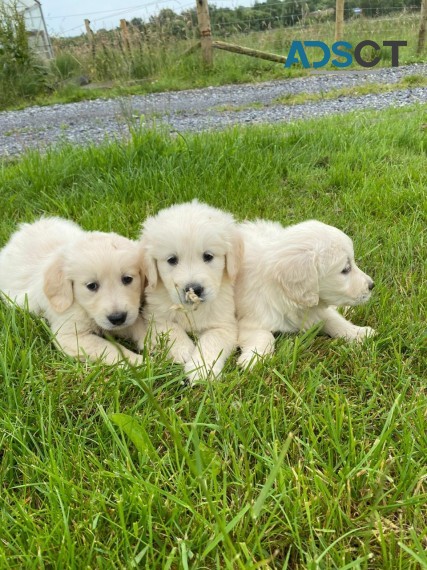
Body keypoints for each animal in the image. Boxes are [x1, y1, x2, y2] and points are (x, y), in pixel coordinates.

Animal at [0, 217, 146, 364]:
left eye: (127, 279)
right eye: (92, 286)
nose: (117, 318)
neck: (82, 307)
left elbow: (139, 325)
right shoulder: (70, 335)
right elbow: (110, 348)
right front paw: (137, 361)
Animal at [139, 200, 242, 382]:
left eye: (208, 256)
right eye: (172, 260)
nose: (194, 289)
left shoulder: (225, 325)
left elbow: (212, 340)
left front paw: (201, 369)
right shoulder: (153, 316)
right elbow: (171, 329)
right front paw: (184, 350)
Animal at [236, 217, 376, 368]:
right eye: (345, 269)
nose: (372, 285)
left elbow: (334, 319)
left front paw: (359, 333)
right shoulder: (251, 320)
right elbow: (264, 335)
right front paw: (255, 359)